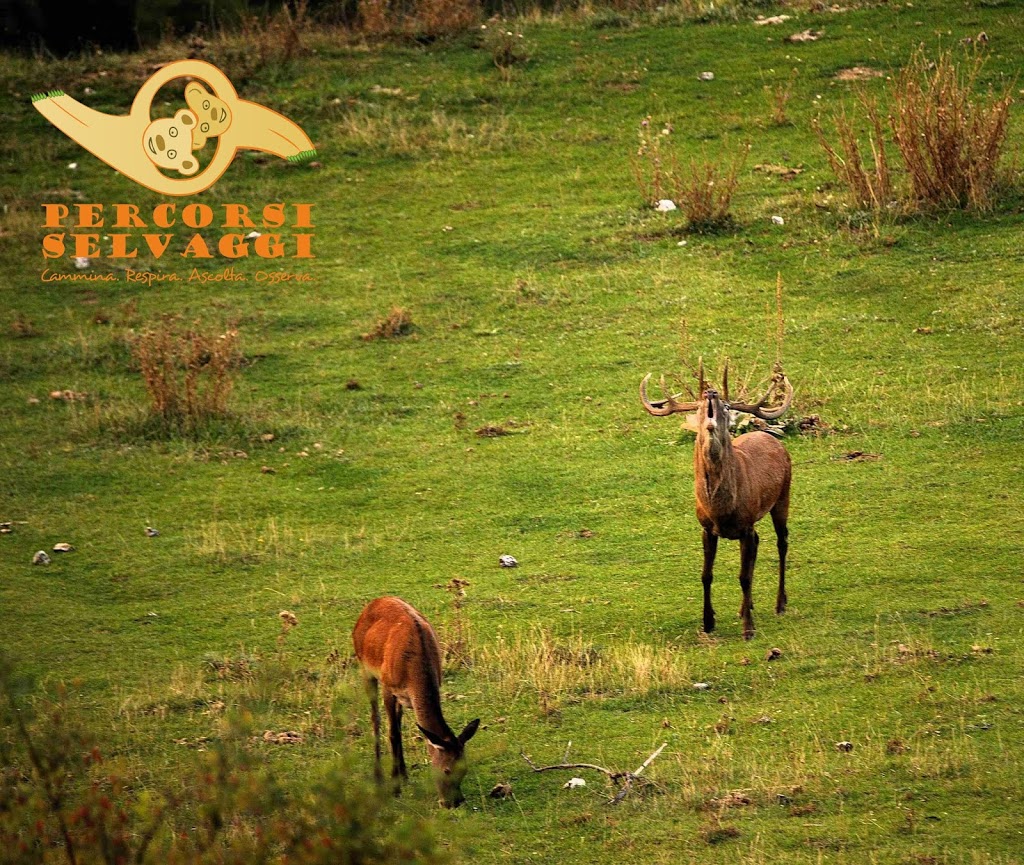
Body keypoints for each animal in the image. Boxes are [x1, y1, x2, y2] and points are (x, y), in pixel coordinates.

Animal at [352, 596, 480, 808]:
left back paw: (403, 774)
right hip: (365, 667)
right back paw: (379, 776)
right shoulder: (389, 686)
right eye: (446, 770)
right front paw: (394, 788)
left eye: (465, 769)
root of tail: (372, 603)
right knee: (375, 719)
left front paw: (402, 777)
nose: (454, 803)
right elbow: (392, 733)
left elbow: (401, 729)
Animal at [639, 361, 793, 640]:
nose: (711, 392)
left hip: (783, 495)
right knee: (759, 543)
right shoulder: (707, 528)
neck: (721, 510)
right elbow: (706, 574)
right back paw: (746, 607)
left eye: (726, 407)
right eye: (699, 407)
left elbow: (743, 576)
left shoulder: (745, 524)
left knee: (782, 542)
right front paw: (708, 622)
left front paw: (748, 630)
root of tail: (772, 439)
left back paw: (780, 604)